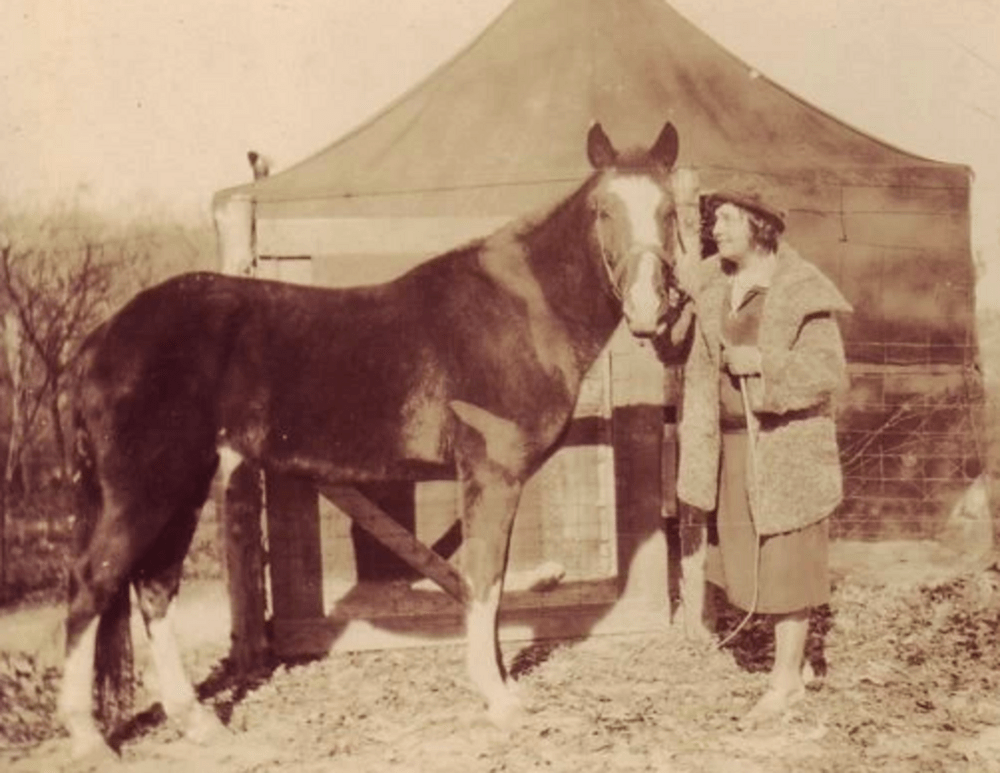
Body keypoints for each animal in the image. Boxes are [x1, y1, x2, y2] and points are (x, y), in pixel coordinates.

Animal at [56, 117, 688, 756]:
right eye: (604, 210)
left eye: (669, 209)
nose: (647, 310)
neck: (518, 314)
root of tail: (98, 341)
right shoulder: (493, 474)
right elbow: (485, 579)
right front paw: (500, 700)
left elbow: (490, 580)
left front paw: (501, 685)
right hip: (144, 493)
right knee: (92, 587)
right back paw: (88, 738)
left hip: (181, 488)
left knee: (154, 588)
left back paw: (196, 721)